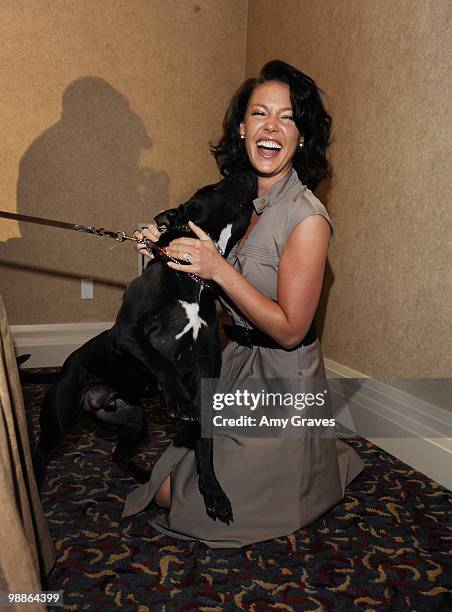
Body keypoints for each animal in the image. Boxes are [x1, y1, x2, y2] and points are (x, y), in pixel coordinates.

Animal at [33, 170, 256, 524]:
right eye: (216, 186)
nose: (247, 171)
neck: (192, 279)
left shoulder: (205, 369)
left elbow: (205, 446)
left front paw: (213, 492)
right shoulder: (128, 334)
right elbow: (161, 363)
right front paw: (178, 400)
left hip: (134, 420)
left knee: (118, 455)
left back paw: (142, 475)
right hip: (59, 418)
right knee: (40, 449)